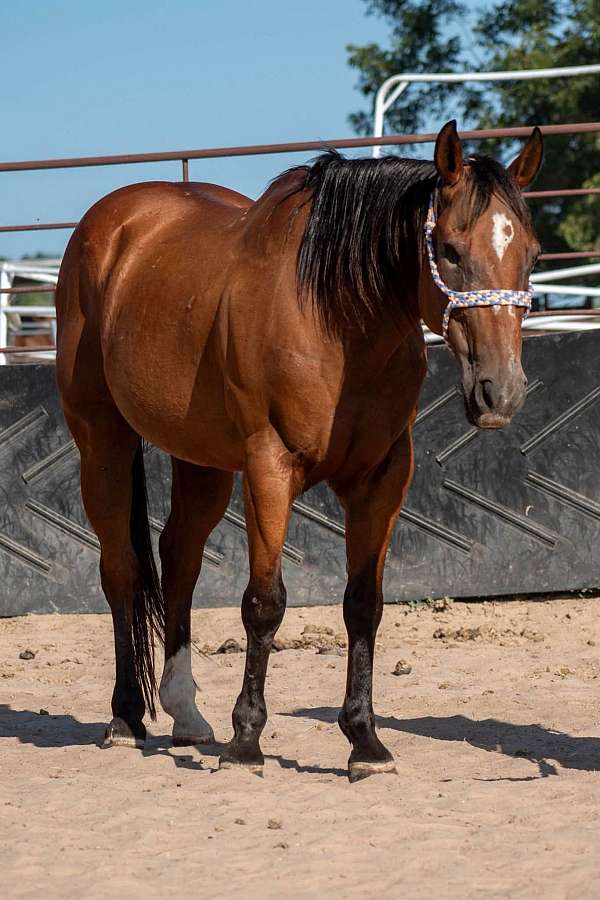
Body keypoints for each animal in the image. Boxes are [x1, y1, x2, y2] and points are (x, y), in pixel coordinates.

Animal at [55, 120, 543, 781]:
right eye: (448, 250)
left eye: (532, 254)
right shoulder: (269, 467)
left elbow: (364, 604)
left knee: (178, 559)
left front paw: (365, 741)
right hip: (102, 439)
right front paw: (246, 742)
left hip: (201, 460)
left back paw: (186, 714)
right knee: (122, 570)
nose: (501, 391)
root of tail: (107, 226)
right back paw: (127, 717)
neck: (336, 320)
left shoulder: (383, 477)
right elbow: (264, 603)